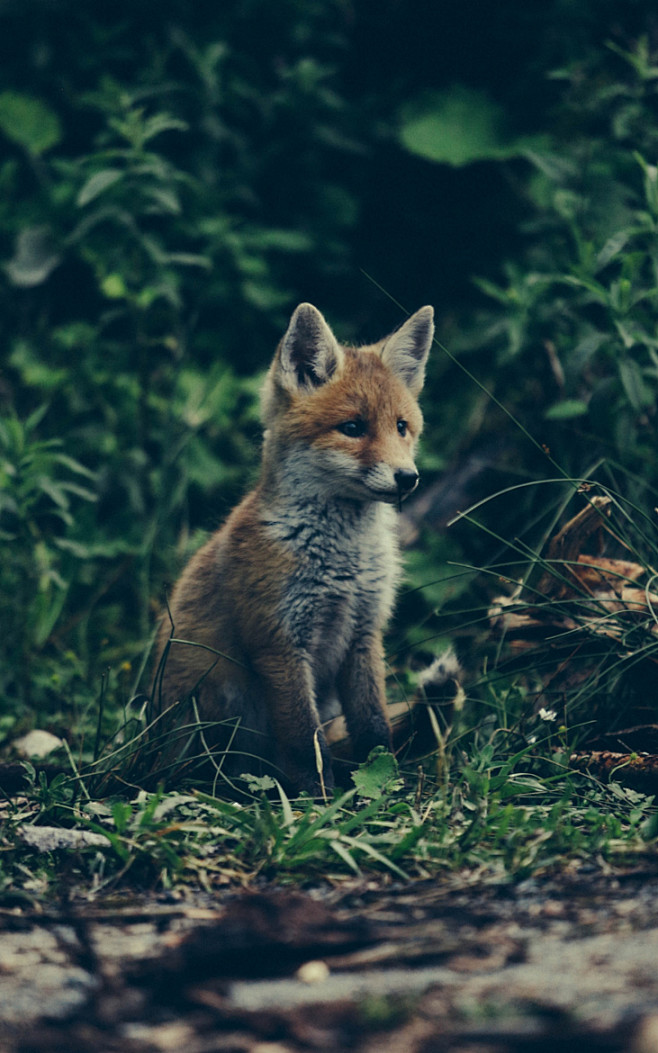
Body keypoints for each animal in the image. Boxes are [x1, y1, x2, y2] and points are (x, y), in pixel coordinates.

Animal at [150, 305, 433, 796]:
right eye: (353, 428)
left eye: (401, 427)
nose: (408, 478)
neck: (344, 562)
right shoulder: (279, 641)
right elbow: (305, 739)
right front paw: (318, 799)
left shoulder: (364, 633)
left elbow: (374, 729)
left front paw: (383, 783)